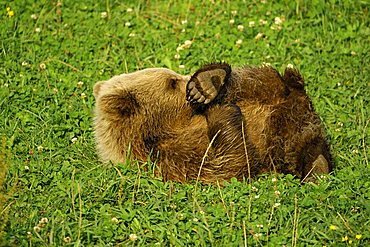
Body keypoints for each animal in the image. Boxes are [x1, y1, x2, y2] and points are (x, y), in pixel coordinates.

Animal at [92, 63, 332, 183]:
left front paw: (208, 94)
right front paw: (222, 112)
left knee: (254, 79)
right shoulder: (172, 160)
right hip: (282, 143)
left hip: (270, 92)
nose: (186, 79)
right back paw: (317, 167)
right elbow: (228, 162)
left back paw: (208, 81)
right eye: (171, 82)